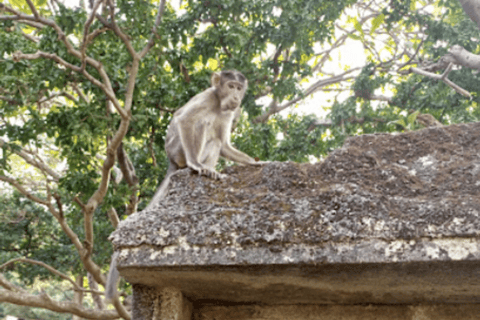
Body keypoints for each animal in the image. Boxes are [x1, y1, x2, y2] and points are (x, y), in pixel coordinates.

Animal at [105, 69, 264, 302]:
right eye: (231, 86)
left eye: (239, 88)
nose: (236, 96)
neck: (220, 102)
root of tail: (171, 161)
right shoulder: (207, 98)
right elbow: (185, 120)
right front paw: (195, 164)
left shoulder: (229, 112)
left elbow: (224, 145)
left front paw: (254, 162)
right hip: (177, 149)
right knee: (200, 123)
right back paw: (194, 166)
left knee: (216, 140)